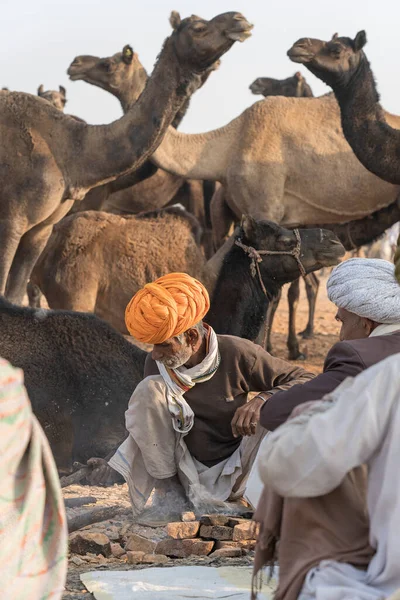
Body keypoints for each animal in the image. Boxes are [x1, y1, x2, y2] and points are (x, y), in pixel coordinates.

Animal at [0, 10, 252, 304]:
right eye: (199, 28)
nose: (239, 19)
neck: (73, 151)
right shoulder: (11, 221)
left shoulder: (40, 231)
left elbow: (13, 297)